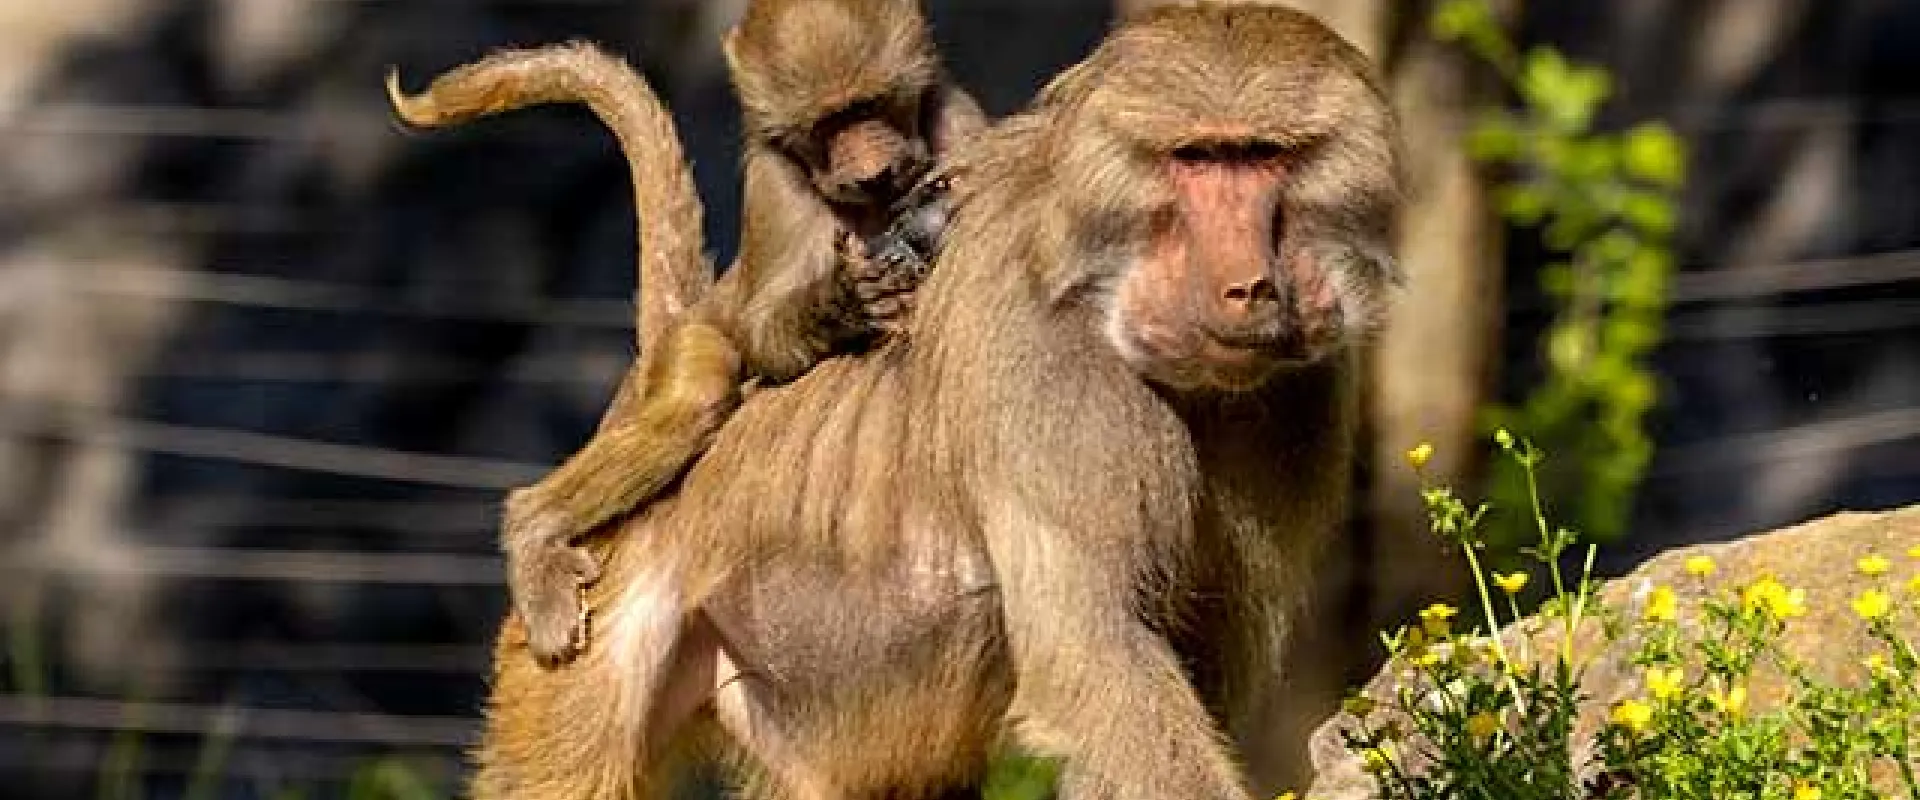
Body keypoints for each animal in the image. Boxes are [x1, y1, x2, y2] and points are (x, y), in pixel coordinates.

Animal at [386, 0, 986, 666]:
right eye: (827, 126)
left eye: (870, 106)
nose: (872, 171)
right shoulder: (774, 180)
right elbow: (767, 339)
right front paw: (845, 303)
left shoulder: (954, 114)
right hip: (684, 345)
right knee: (697, 399)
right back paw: (533, 531)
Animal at [467, 3, 1401, 799]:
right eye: (1197, 159)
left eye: (1265, 156)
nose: (1250, 288)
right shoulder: (1047, 367)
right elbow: (1094, 657)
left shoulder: (1295, 398)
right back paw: (538, 531)